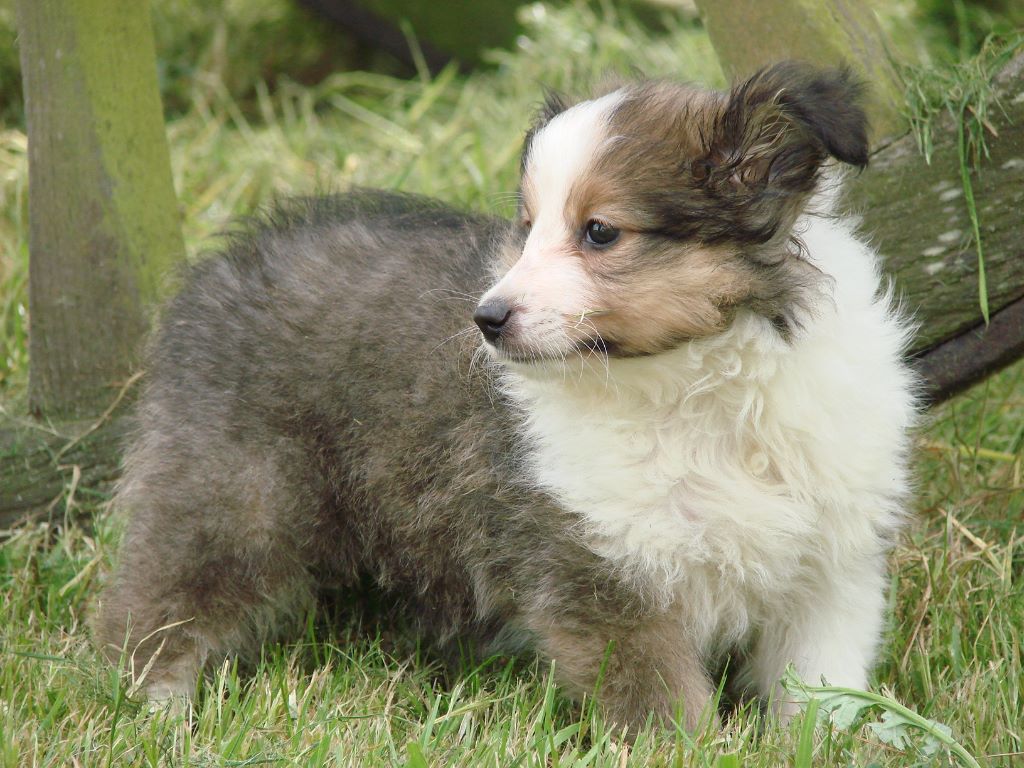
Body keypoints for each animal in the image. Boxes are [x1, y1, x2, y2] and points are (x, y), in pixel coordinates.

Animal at [94, 62, 917, 732]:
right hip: (234, 501)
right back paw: (156, 714)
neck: (695, 385)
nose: (485, 320)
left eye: (599, 232)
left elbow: (823, 696)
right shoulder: (602, 576)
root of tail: (227, 260)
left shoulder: (832, 570)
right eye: (527, 225)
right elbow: (666, 710)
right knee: (154, 608)